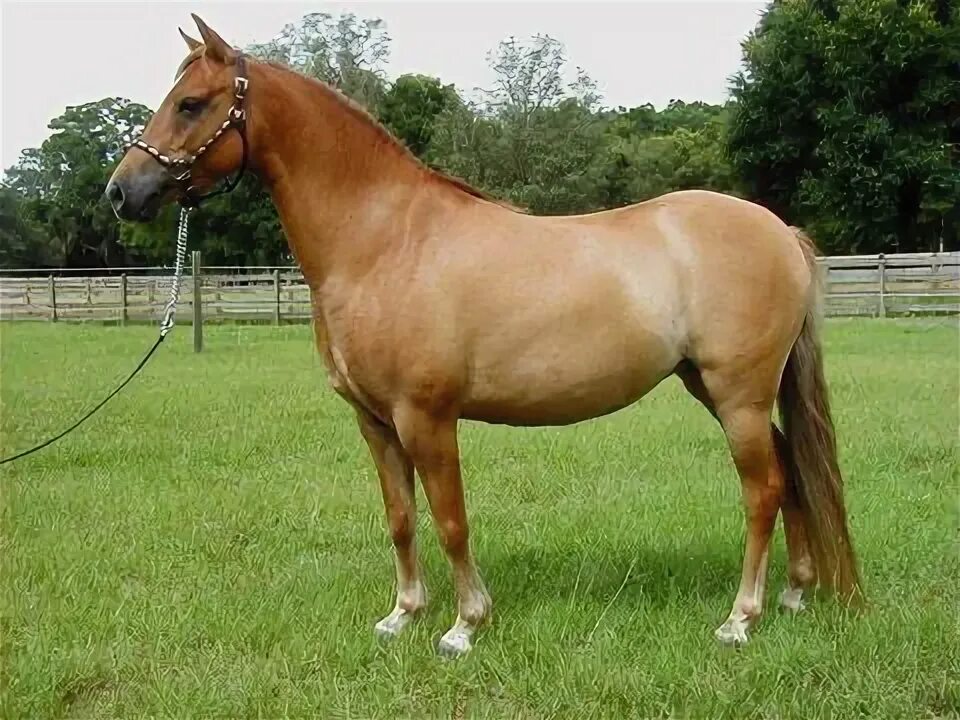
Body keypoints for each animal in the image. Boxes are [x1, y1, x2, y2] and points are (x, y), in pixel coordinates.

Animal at [105, 15, 864, 660]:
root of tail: (778, 230)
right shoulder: (374, 421)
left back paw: (740, 619)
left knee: (763, 489)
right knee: (790, 469)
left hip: (737, 396)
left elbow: (451, 520)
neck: (383, 241)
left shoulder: (426, 417)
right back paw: (794, 593)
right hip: (716, 389)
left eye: (191, 104)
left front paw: (464, 627)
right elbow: (401, 518)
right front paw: (402, 615)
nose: (121, 192)